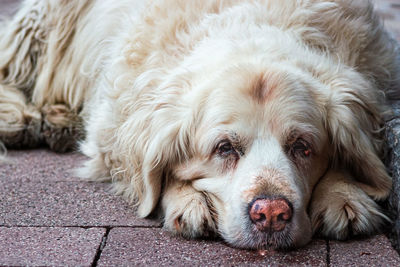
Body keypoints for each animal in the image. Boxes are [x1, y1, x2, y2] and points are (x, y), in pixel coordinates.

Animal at [0, 0, 400, 251]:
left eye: (302, 146)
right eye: (224, 148)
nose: (271, 214)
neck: (252, 28)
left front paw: (343, 194)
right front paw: (187, 200)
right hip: (43, 24)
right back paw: (23, 117)